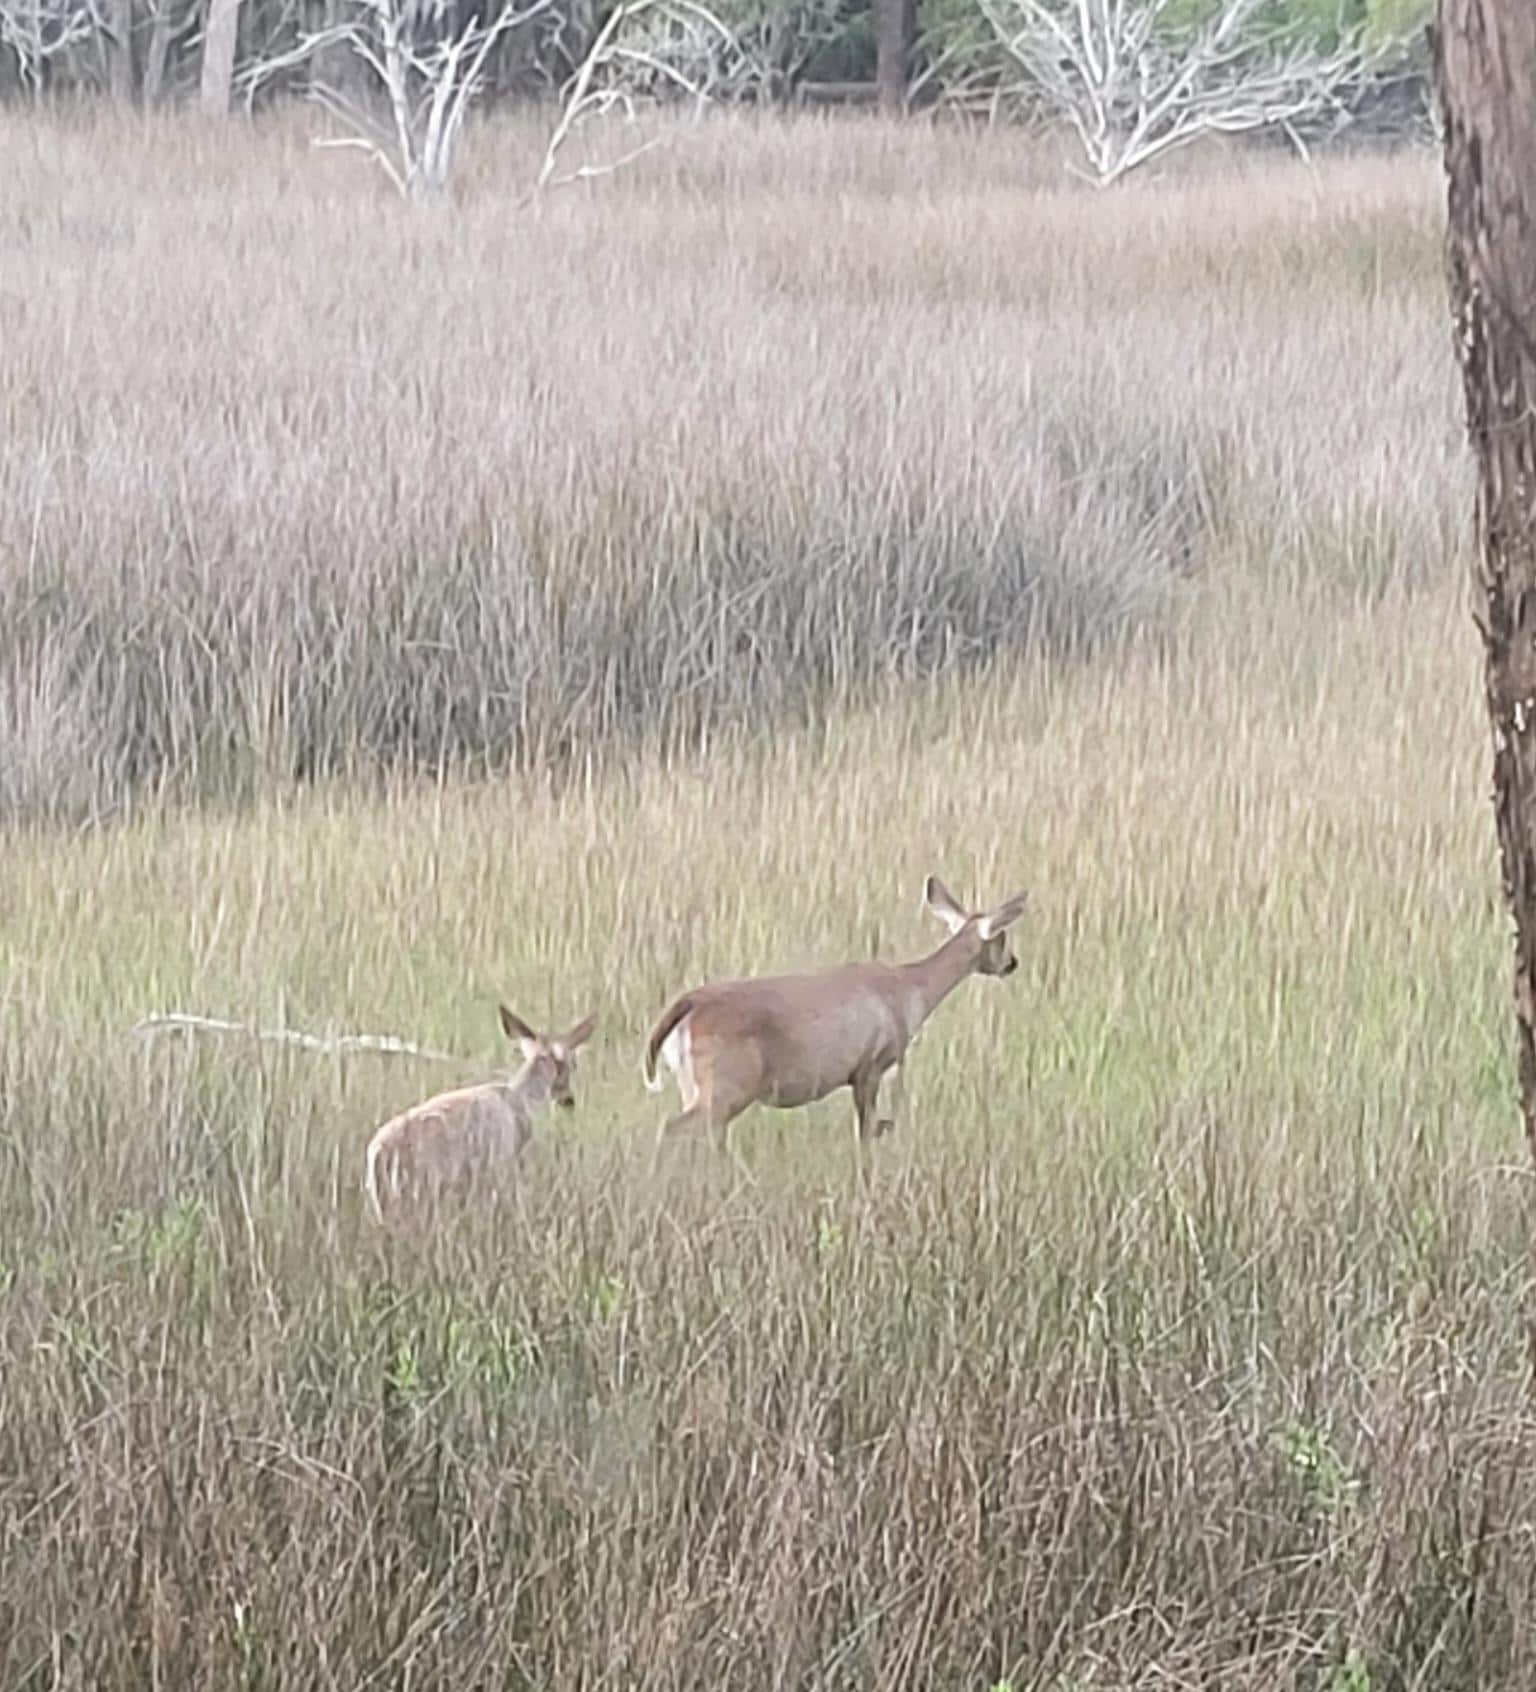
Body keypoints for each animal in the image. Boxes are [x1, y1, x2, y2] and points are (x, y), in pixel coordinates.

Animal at [365, 1005, 595, 1226]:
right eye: (573, 1064)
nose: (569, 1100)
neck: (520, 1102)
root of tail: (378, 1153)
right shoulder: (499, 1166)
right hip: (420, 1194)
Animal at [642, 876, 1026, 1155]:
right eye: (1002, 936)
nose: (1012, 963)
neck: (908, 993)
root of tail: (688, 1005)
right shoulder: (870, 1065)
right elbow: (867, 1134)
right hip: (727, 1084)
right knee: (672, 1129)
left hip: (692, 1083)